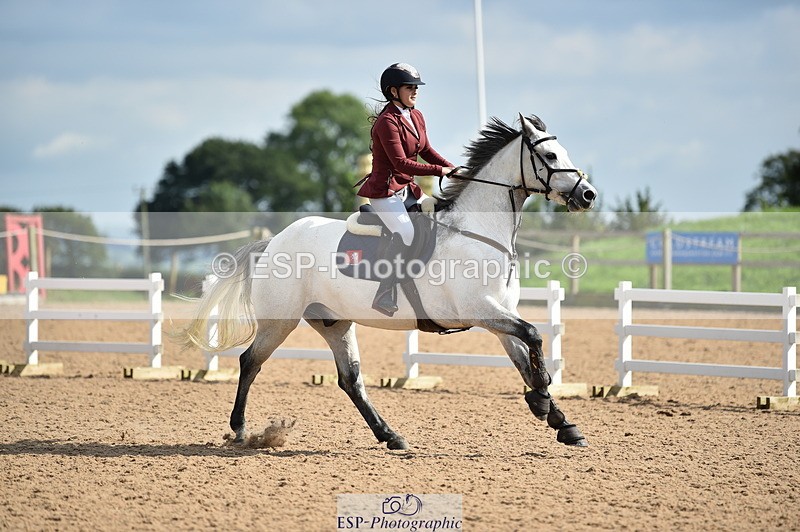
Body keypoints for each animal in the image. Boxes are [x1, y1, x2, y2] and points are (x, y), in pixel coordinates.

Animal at [177, 113, 598, 450]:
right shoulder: (480, 310)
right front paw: (541, 402)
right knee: (250, 362)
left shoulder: (498, 316)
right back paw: (240, 430)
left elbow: (526, 357)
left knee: (350, 380)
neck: (477, 231)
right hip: (279, 321)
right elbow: (535, 337)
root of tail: (275, 240)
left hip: (334, 323)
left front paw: (561, 422)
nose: (588, 195)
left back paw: (390, 435)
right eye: (550, 157)